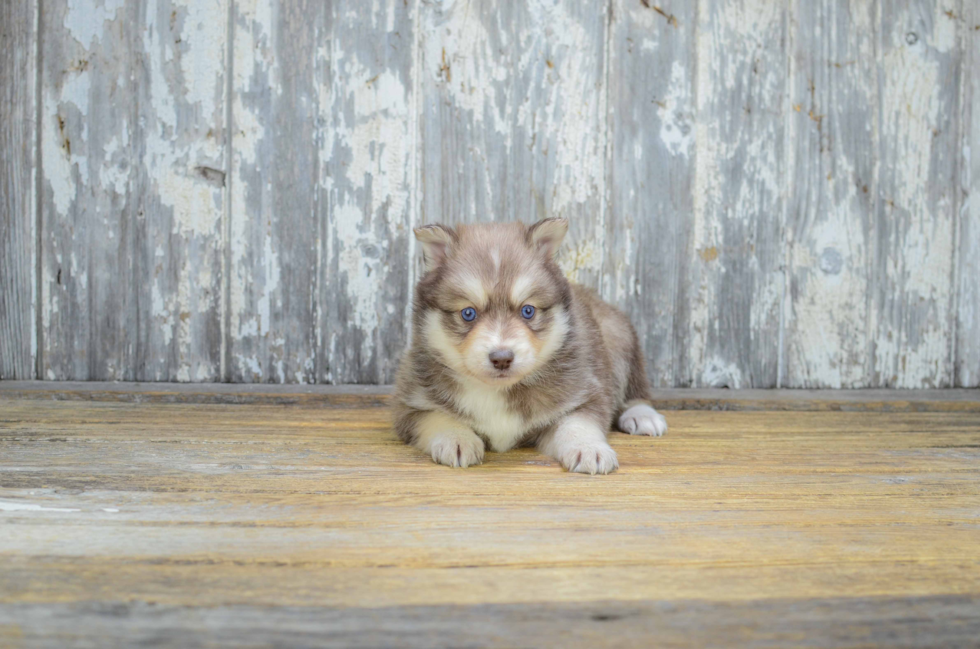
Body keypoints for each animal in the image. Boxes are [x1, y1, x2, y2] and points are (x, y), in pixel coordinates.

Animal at [396, 215, 668, 474]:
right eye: (468, 313)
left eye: (528, 311)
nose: (502, 358)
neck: (498, 391)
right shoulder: (411, 403)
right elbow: (437, 418)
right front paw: (456, 439)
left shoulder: (584, 394)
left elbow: (578, 423)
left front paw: (589, 448)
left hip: (619, 338)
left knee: (635, 391)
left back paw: (642, 416)